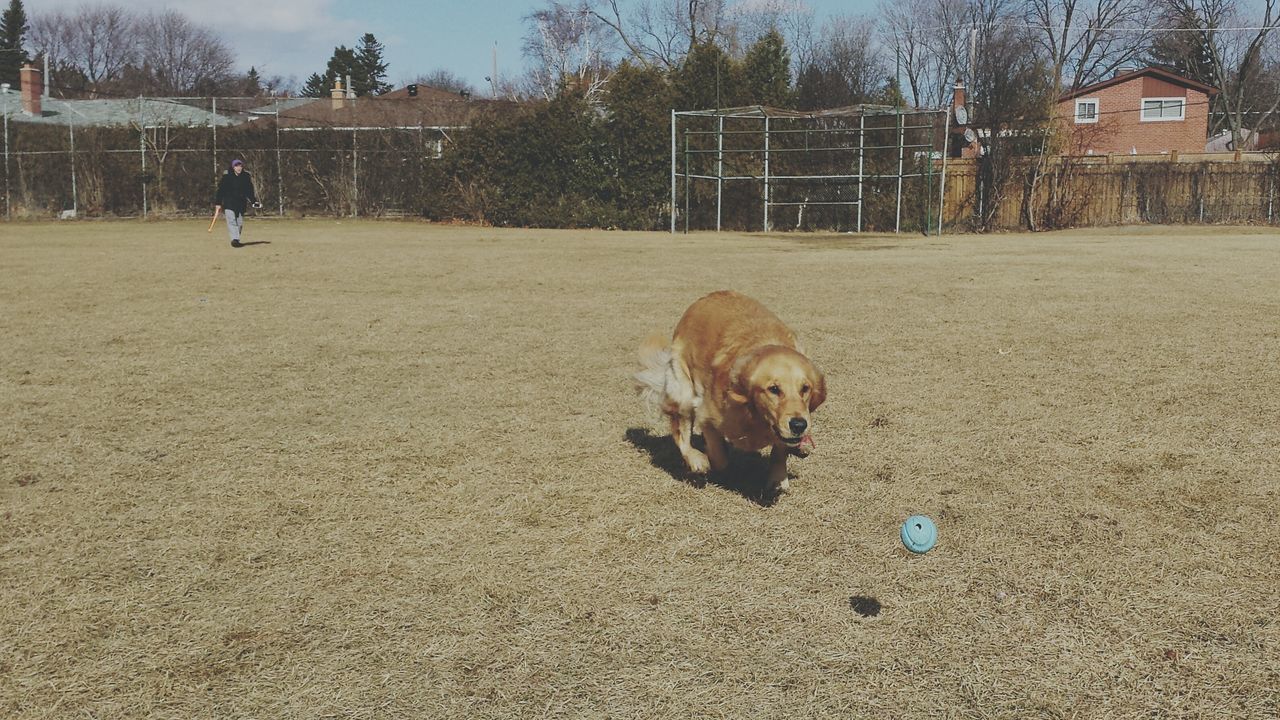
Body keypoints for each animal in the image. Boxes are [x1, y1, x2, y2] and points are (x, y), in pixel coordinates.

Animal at [634, 288, 824, 489]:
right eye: (773, 389)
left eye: (805, 388)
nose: (799, 425)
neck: (755, 416)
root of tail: (707, 296)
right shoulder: (707, 414)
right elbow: (720, 458)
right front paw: (712, 459)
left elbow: (781, 449)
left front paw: (778, 476)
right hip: (683, 391)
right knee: (681, 434)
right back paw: (696, 460)